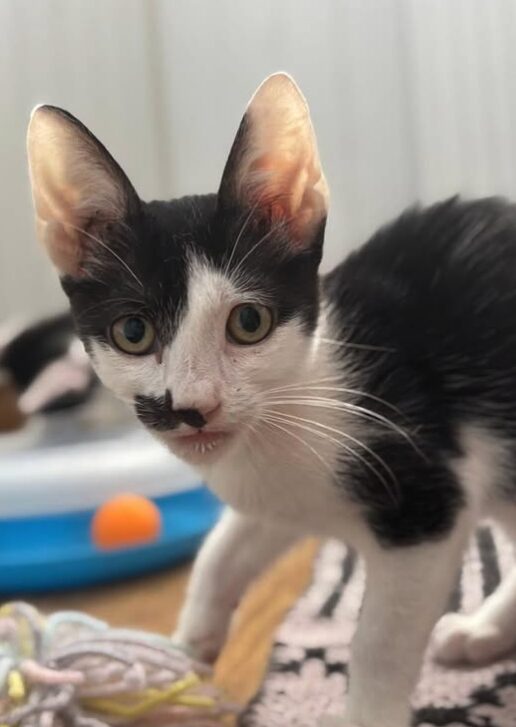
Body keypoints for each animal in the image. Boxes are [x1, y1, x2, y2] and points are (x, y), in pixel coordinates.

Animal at [27, 74, 516, 727]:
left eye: (249, 322)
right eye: (133, 332)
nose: (193, 406)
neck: (298, 399)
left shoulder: (425, 501)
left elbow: (379, 643)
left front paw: (370, 709)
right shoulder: (274, 499)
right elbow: (221, 552)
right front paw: (184, 651)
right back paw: (486, 631)